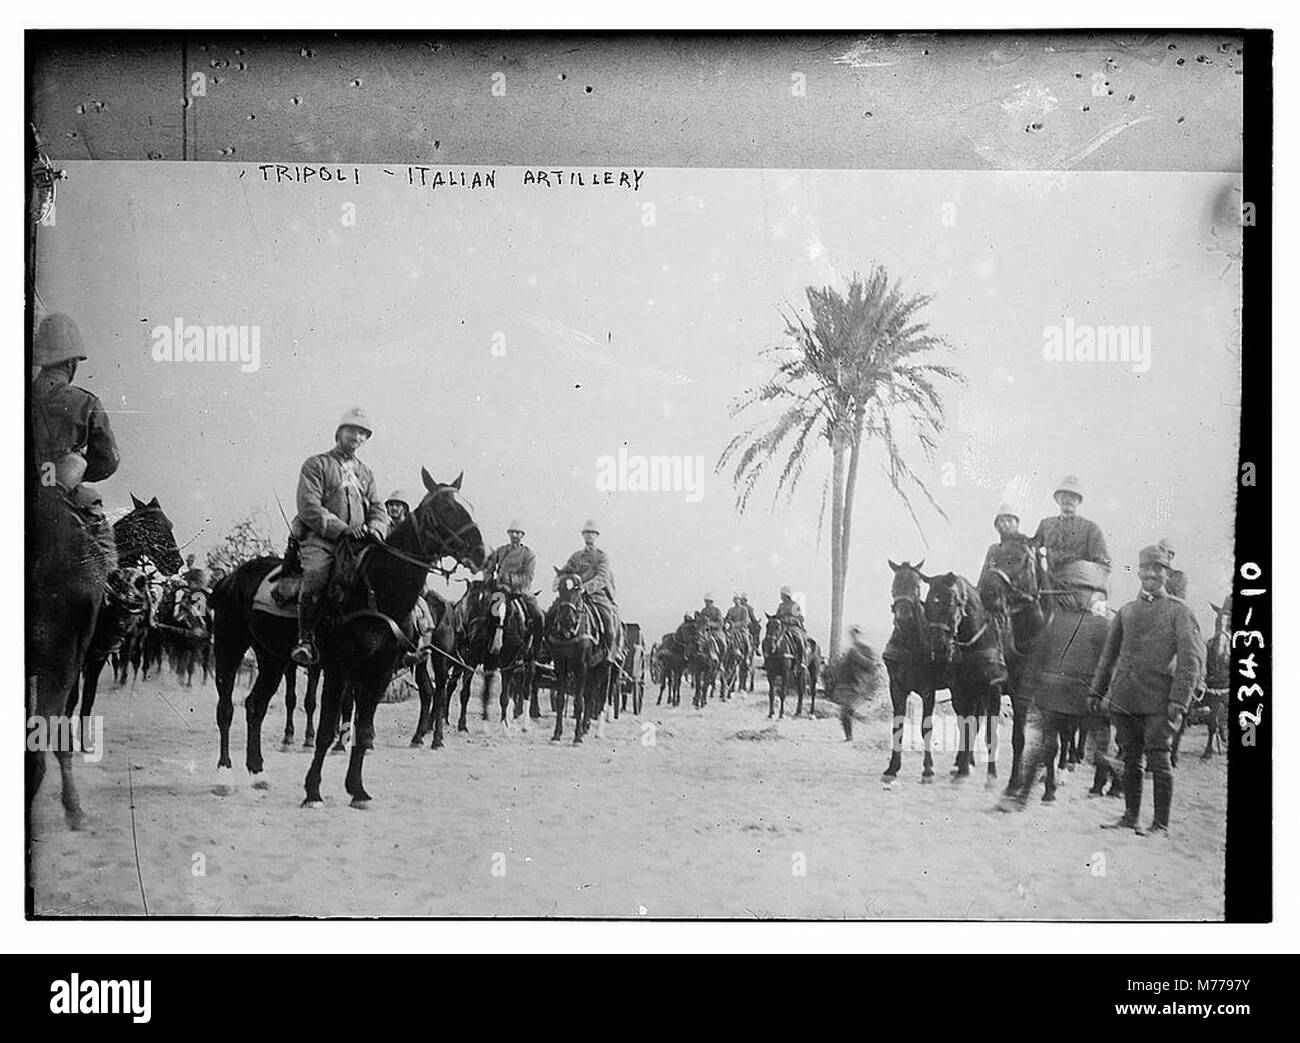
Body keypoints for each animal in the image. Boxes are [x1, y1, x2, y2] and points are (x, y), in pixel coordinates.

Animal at [63, 496, 184, 749]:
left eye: (170, 524)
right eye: (154, 526)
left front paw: (85, 743)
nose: (177, 563)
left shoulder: (100, 653)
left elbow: (88, 698)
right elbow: (73, 698)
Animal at [210, 470, 486, 806]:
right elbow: (326, 728)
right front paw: (313, 791)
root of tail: (230, 578)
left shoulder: (378, 674)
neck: (373, 590)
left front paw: (357, 790)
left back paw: (258, 771)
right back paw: (224, 775)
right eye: (446, 507)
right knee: (226, 709)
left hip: (272, 658)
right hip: (229, 647)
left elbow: (363, 730)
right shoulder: (339, 671)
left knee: (255, 706)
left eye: (469, 505)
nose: (481, 553)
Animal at [883, 556, 946, 775]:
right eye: (894, 586)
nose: (903, 618)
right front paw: (893, 766)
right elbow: (898, 725)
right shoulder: (897, 688)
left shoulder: (928, 691)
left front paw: (927, 767)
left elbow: (926, 728)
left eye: (917, 587)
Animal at [925, 569, 1003, 780]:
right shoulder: (963, 691)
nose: (939, 646)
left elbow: (990, 734)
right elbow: (966, 729)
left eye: (950, 603)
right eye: (926, 605)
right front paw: (963, 769)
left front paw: (992, 774)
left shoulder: (994, 691)